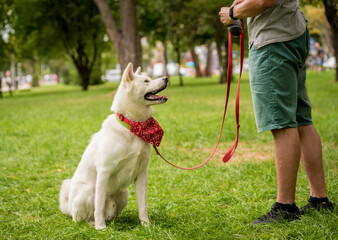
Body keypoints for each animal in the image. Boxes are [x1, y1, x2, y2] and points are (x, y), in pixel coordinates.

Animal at [60, 62, 168, 229]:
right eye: (146, 81)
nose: (166, 78)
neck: (132, 127)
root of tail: (69, 208)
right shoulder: (104, 172)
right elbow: (98, 206)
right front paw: (100, 227)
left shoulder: (142, 174)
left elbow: (143, 205)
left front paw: (146, 225)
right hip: (88, 192)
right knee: (81, 219)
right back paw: (93, 223)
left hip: (123, 194)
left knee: (111, 214)